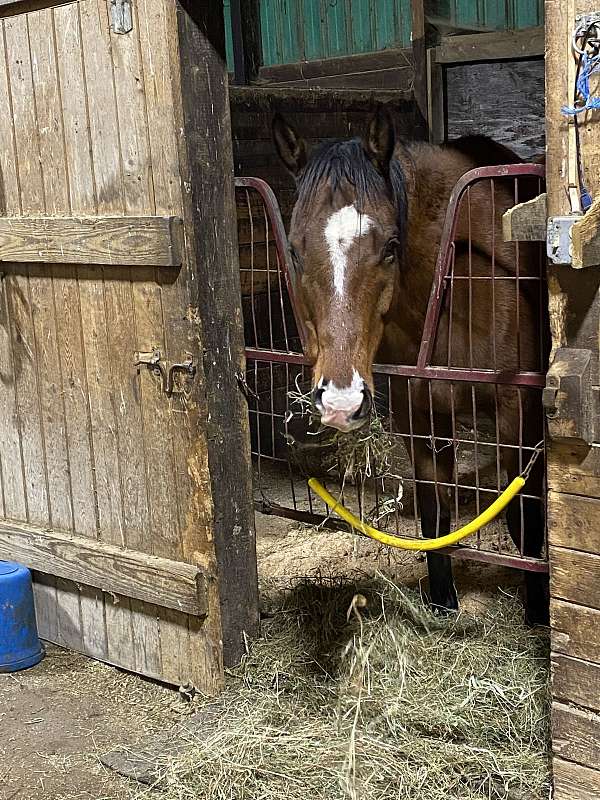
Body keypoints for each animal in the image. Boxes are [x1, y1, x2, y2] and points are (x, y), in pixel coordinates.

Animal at [272, 109, 549, 625]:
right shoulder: (418, 412)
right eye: (295, 250)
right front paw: (442, 605)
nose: (340, 401)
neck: (453, 284)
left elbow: (526, 515)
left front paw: (540, 614)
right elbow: (434, 512)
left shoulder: (516, 410)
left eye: (390, 245)